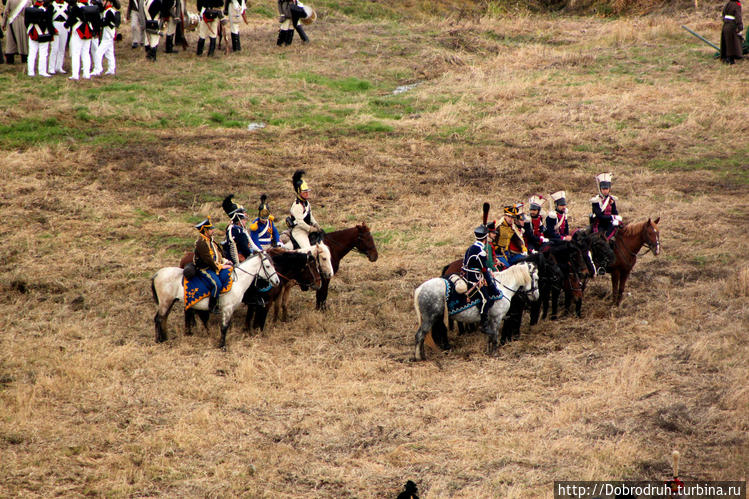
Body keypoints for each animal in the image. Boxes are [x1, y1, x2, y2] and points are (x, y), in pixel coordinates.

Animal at [150, 252, 280, 350]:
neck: (237, 281)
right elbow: (224, 327)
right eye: (268, 266)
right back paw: (159, 340)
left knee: (163, 318)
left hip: (169, 302)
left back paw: (164, 338)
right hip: (165, 302)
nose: (277, 281)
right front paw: (222, 346)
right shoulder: (227, 309)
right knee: (159, 319)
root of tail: (157, 274)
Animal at [412, 260, 540, 362]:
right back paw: (419, 357)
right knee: (420, 335)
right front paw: (495, 353)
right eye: (536, 278)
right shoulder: (497, 318)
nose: (536, 296)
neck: (502, 287)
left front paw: (489, 351)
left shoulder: (490, 319)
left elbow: (490, 336)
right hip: (429, 319)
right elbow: (494, 335)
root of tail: (420, 289)